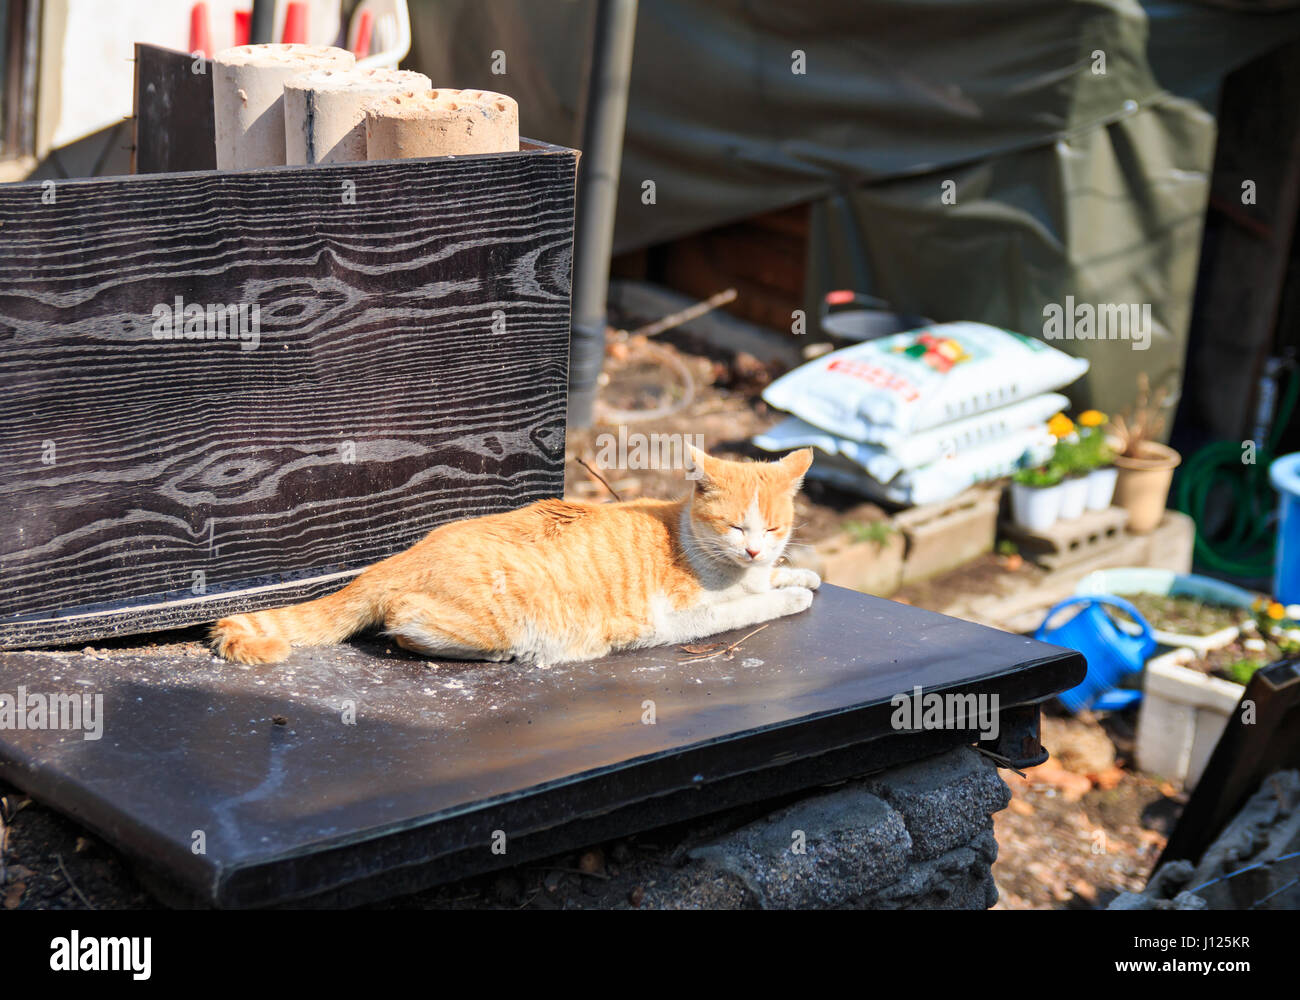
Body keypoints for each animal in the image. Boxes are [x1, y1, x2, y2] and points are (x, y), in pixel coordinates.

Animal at [213, 442, 821, 663]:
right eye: (736, 526)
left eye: (772, 528)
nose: (753, 550)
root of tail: (401, 556)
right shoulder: (685, 613)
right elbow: (751, 607)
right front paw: (791, 598)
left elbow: (775, 580)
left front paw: (799, 576)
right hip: (496, 619)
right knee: (402, 625)